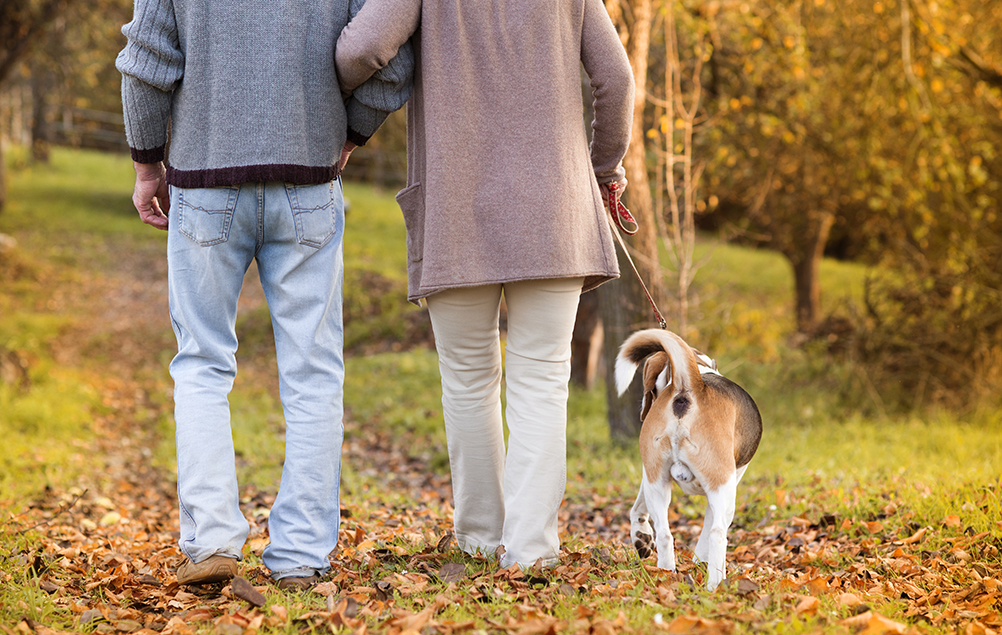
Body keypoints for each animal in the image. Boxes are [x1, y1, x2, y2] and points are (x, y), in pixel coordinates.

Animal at [613, 326, 761, 588]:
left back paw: (665, 574)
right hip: (722, 487)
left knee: (664, 534)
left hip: (657, 483)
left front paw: (641, 537)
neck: (702, 370)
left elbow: (637, 508)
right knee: (717, 533)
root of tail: (689, 385)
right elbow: (708, 531)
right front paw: (701, 562)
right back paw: (715, 585)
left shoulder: (649, 475)